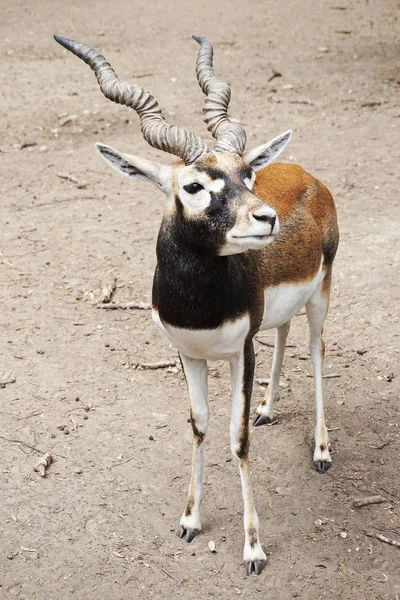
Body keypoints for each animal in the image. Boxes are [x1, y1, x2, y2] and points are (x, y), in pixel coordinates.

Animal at [54, 34, 340, 576]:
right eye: (193, 186)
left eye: (248, 174)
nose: (266, 218)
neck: (201, 307)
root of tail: (301, 170)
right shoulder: (189, 354)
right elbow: (201, 426)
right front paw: (189, 519)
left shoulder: (240, 352)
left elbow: (237, 437)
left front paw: (253, 548)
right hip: (280, 311)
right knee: (284, 332)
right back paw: (269, 408)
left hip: (321, 293)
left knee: (315, 352)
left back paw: (320, 450)